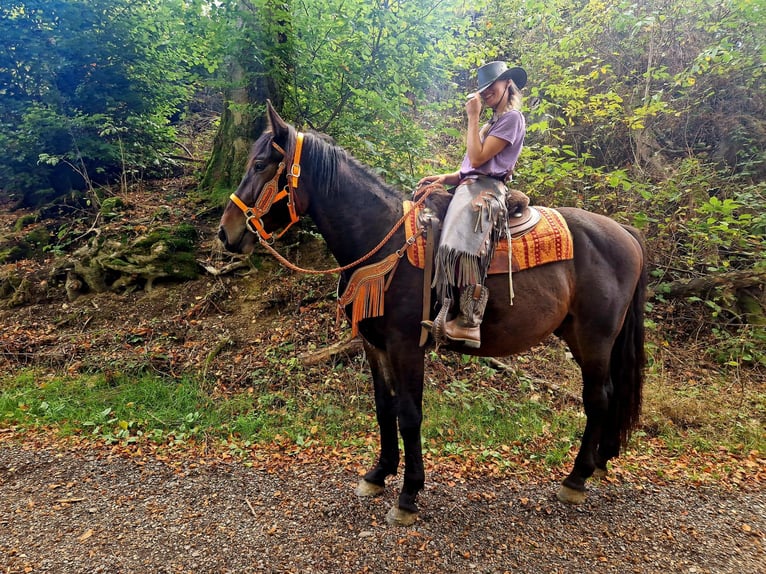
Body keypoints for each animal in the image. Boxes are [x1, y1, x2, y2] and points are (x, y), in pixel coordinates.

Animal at [218, 101, 647, 526]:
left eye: (260, 165)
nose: (226, 232)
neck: (382, 238)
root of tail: (625, 232)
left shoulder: (406, 345)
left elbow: (410, 414)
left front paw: (408, 495)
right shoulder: (375, 345)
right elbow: (384, 407)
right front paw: (378, 474)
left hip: (595, 337)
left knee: (598, 397)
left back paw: (575, 479)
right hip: (578, 336)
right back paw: (598, 462)